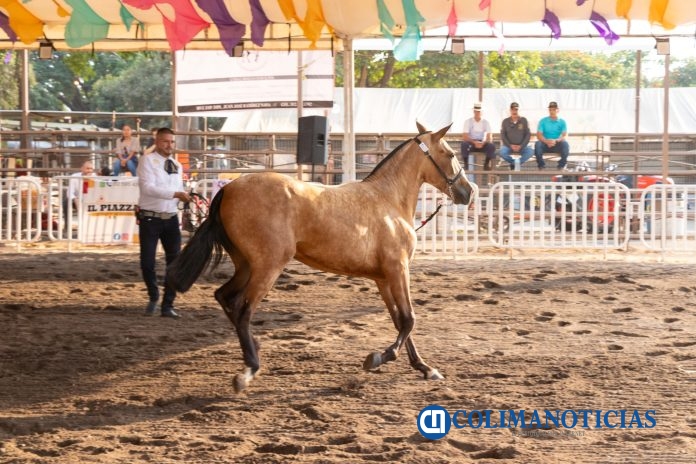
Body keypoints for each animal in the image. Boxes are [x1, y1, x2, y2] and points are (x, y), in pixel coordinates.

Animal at [167, 122, 474, 392]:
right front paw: (377, 358)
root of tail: (228, 188)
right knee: (242, 309)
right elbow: (410, 319)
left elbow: (400, 320)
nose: (469, 192)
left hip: (246, 264)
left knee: (224, 297)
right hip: (268, 266)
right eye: (451, 154)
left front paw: (424, 368)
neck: (388, 201)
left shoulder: (383, 278)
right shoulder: (398, 270)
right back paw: (249, 370)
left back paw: (254, 349)